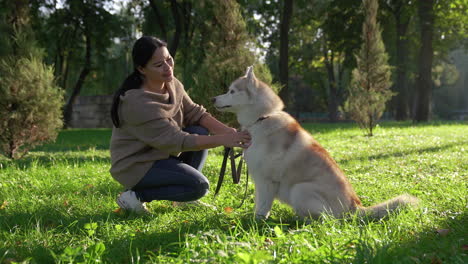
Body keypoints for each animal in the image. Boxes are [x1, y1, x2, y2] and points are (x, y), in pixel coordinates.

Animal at [212, 66, 416, 221]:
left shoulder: (267, 181)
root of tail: (355, 206)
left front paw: (256, 223)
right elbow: (258, 204)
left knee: (328, 220)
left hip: (299, 189)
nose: (213, 98)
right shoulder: (260, 182)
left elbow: (262, 208)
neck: (262, 117)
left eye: (232, 91)